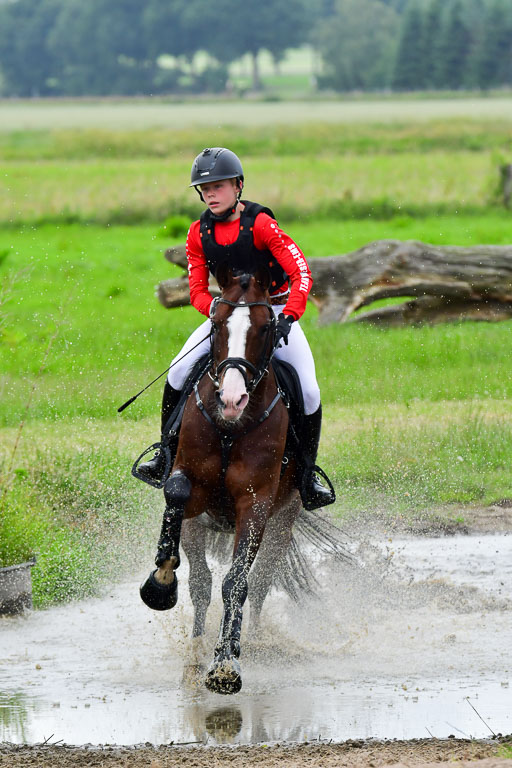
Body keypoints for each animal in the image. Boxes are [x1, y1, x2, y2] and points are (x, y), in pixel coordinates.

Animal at [139, 264, 308, 695]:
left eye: (266, 328)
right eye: (216, 324)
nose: (232, 400)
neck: (231, 428)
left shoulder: (256, 504)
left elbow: (237, 583)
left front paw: (226, 663)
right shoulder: (191, 493)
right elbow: (177, 493)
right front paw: (160, 584)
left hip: (284, 520)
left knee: (260, 582)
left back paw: (254, 641)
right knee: (201, 584)